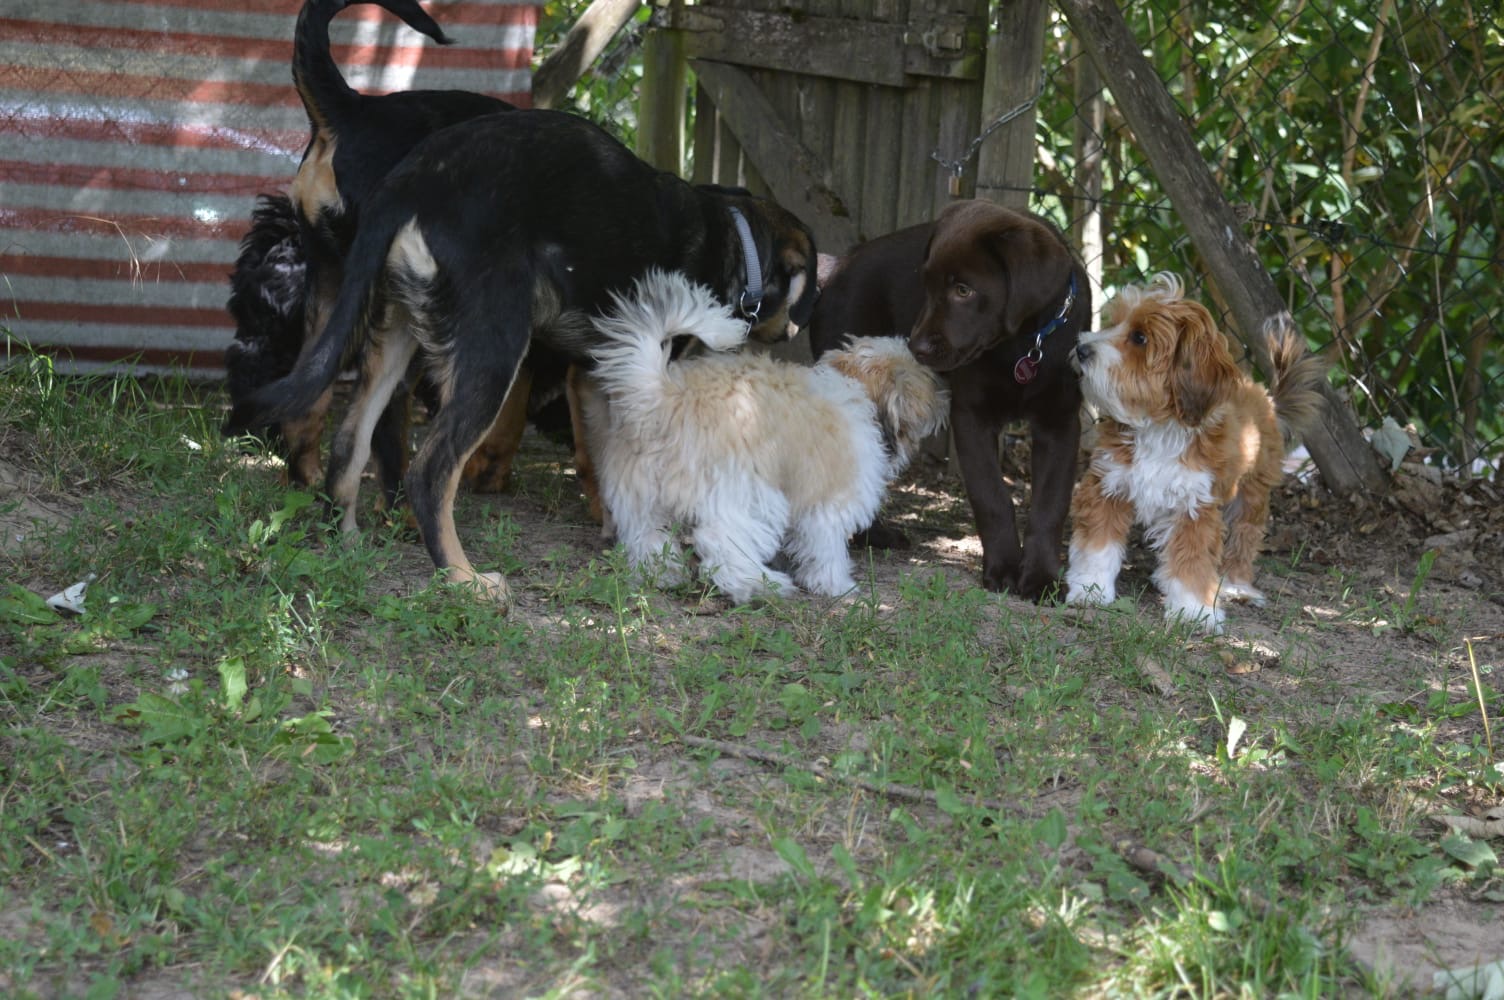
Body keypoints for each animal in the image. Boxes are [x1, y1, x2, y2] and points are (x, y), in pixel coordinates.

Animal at [226, 109, 820, 608]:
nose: (794, 327)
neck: (737, 238)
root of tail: (411, 185)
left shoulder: (596, 375)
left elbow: (605, 462)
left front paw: (618, 531)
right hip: (493, 348)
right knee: (430, 472)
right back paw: (464, 579)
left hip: (395, 335)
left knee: (351, 440)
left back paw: (347, 538)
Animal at [581, 269, 948, 603]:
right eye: (927, 380)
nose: (945, 398)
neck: (858, 387)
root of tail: (662, 395)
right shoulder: (830, 499)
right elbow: (827, 546)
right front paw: (839, 587)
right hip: (750, 494)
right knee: (721, 542)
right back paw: (759, 586)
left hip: (640, 495)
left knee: (648, 537)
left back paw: (665, 575)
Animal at [810, 199, 1090, 600]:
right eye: (925, 284)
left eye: (963, 290)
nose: (917, 347)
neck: (1022, 346)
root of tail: (837, 265)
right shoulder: (971, 416)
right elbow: (992, 497)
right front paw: (1003, 569)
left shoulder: (1061, 423)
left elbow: (1050, 505)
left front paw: (1041, 578)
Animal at [1064, 272, 1326, 633]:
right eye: (1115, 323)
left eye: (1140, 337)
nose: (1082, 349)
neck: (1158, 428)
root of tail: (1265, 398)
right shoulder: (1108, 485)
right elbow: (1097, 546)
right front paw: (1090, 588)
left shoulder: (1196, 505)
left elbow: (1192, 561)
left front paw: (1193, 610)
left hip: (1251, 493)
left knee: (1244, 538)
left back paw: (1236, 585)